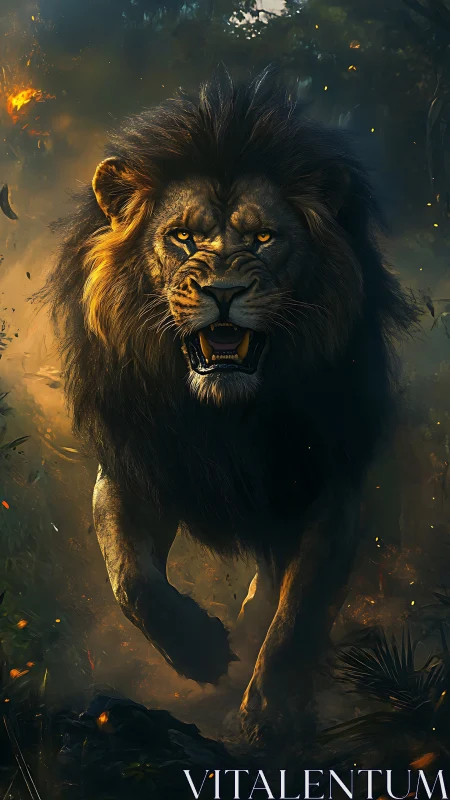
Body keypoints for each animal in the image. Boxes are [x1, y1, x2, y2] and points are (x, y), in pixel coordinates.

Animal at [45, 70, 417, 745]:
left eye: (264, 239)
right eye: (182, 236)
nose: (223, 291)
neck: (225, 419)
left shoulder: (328, 487)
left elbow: (299, 612)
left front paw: (270, 715)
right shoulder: (136, 467)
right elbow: (130, 578)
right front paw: (198, 651)